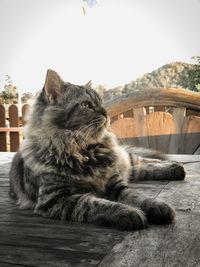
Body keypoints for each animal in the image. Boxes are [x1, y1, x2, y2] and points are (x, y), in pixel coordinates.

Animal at [9, 70, 184, 231]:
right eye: (86, 105)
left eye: (101, 103)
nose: (106, 113)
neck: (83, 151)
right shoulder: (57, 198)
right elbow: (97, 204)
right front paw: (129, 213)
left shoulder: (115, 183)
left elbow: (137, 196)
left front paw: (157, 206)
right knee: (140, 169)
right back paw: (176, 169)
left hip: (124, 159)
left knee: (143, 160)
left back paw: (175, 166)